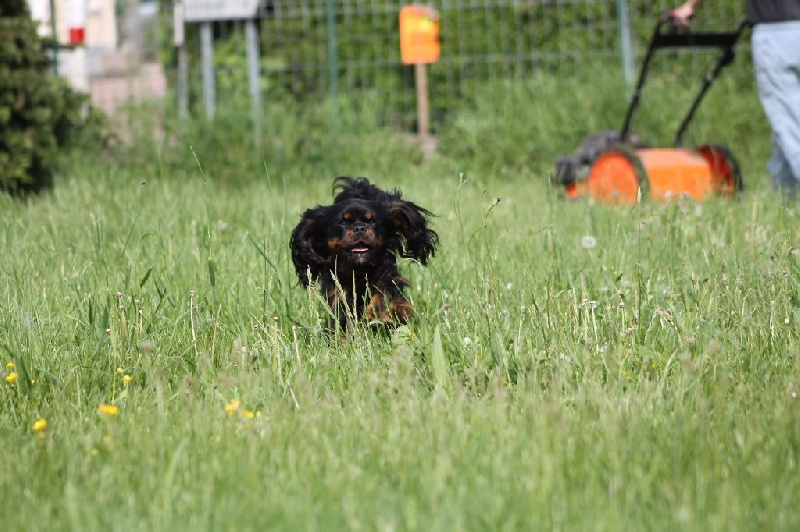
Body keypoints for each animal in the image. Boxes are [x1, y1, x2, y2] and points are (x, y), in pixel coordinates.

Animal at [290, 177, 438, 330]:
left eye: (372, 221)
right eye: (343, 222)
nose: (360, 228)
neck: (359, 271)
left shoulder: (389, 279)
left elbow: (383, 295)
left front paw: (378, 314)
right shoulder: (338, 294)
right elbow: (344, 319)